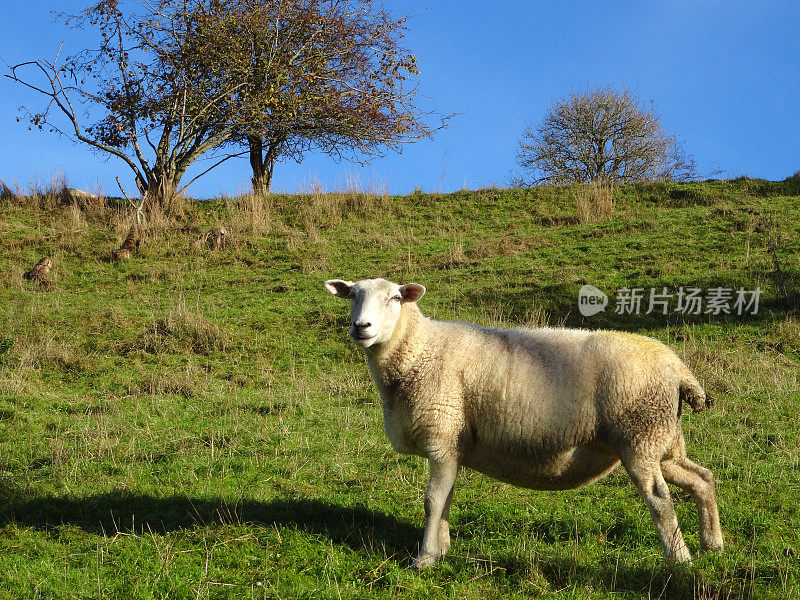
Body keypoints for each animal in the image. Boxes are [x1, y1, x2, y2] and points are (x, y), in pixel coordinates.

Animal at [322, 276, 720, 568]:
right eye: (352, 295)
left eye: (394, 298)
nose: (361, 326)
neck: (419, 350)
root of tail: (678, 366)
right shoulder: (453, 445)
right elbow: (445, 499)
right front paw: (442, 549)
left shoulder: (442, 435)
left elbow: (432, 500)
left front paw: (425, 558)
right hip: (662, 440)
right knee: (702, 478)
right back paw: (712, 545)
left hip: (640, 435)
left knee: (660, 499)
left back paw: (680, 560)